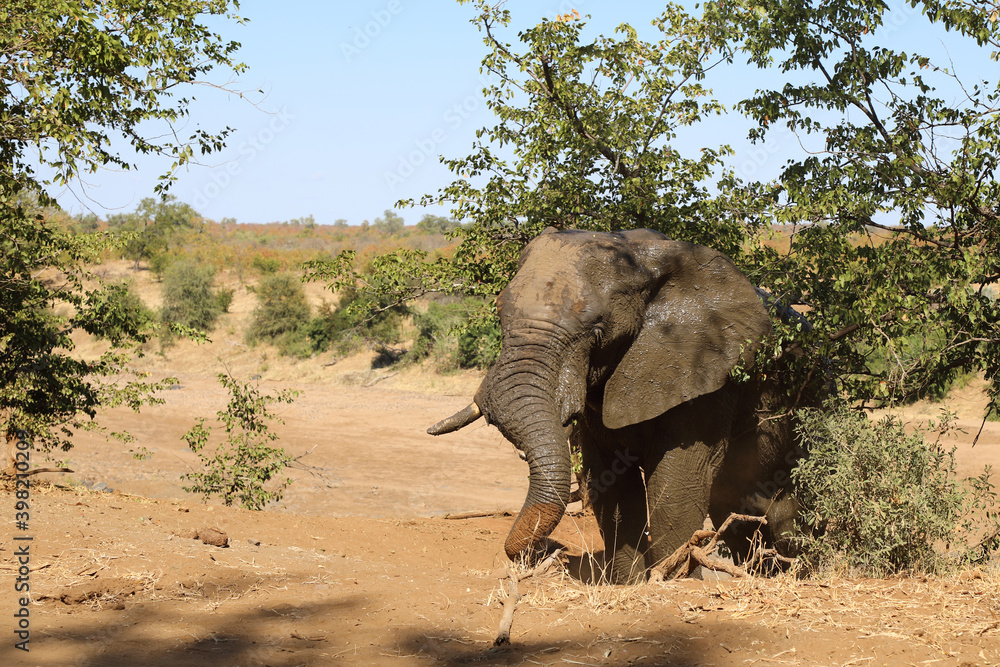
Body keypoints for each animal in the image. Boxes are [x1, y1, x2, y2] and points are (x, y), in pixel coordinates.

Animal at [428, 228, 808, 583]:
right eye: (499, 314)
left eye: (597, 331)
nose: (546, 551)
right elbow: (609, 479)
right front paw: (632, 584)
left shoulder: (709, 371)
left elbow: (677, 476)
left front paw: (671, 583)